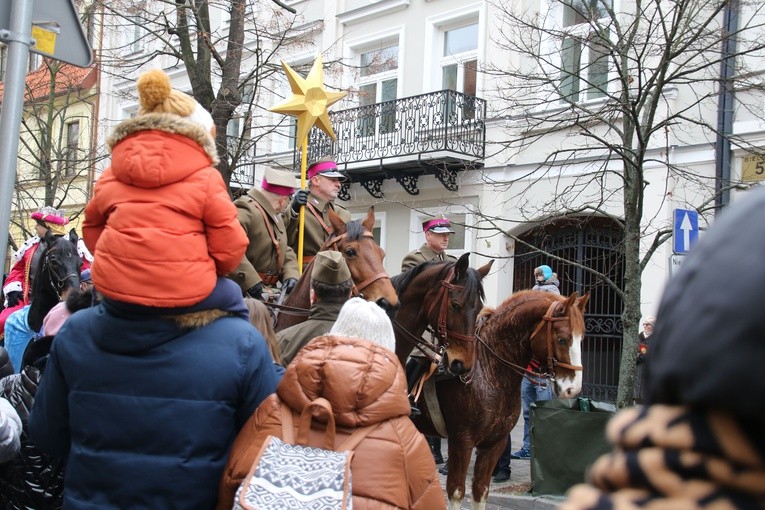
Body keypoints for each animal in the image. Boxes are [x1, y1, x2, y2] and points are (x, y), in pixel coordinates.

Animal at [402, 288, 588, 508]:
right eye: (562, 339)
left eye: (581, 338)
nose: (572, 389)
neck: (487, 370)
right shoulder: (462, 441)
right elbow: (456, 492)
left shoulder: (494, 443)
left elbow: (480, 490)